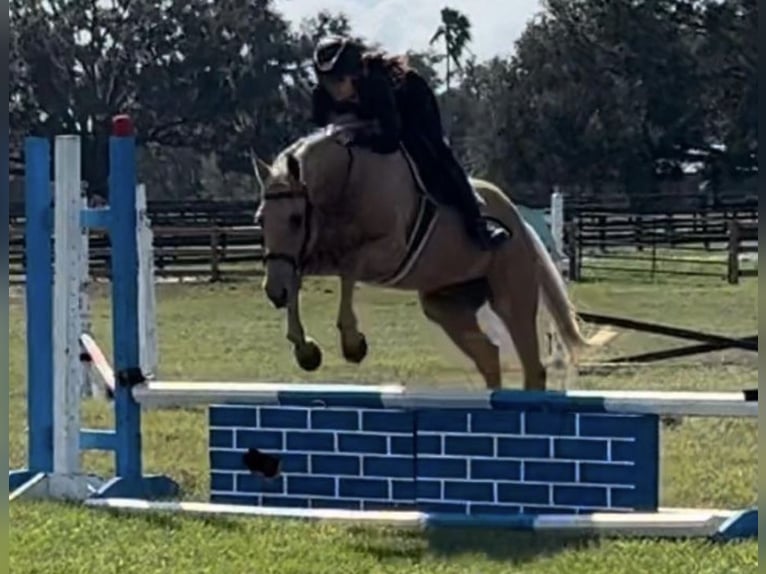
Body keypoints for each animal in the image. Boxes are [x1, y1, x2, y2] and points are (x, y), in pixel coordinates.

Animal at [255, 120, 592, 394]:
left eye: (296, 219)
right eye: (260, 220)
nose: (272, 293)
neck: (347, 180)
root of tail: (521, 223)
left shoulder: (385, 252)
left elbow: (350, 270)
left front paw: (352, 343)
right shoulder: (316, 254)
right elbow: (298, 278)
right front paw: (305, 350)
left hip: (512, 299)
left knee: (532, 366)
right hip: (445, 306)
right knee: (489, 356)